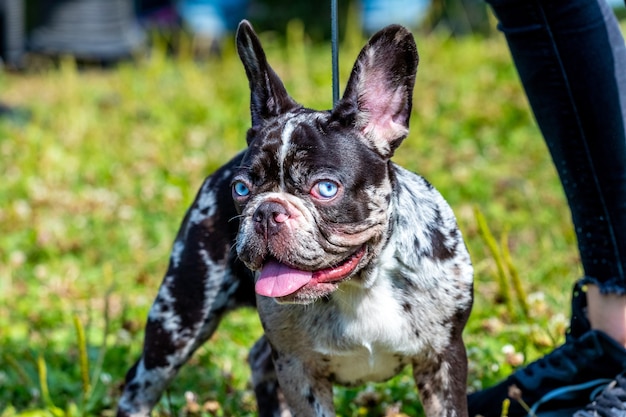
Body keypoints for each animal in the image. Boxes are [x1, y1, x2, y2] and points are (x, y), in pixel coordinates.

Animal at [114, 20, 470, 416]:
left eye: (326, 188)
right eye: (241, 188)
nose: (268, 211)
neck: (361, 285)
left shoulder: (442, 359)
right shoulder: (299, 370)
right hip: (179, 318)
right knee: (141, 383)